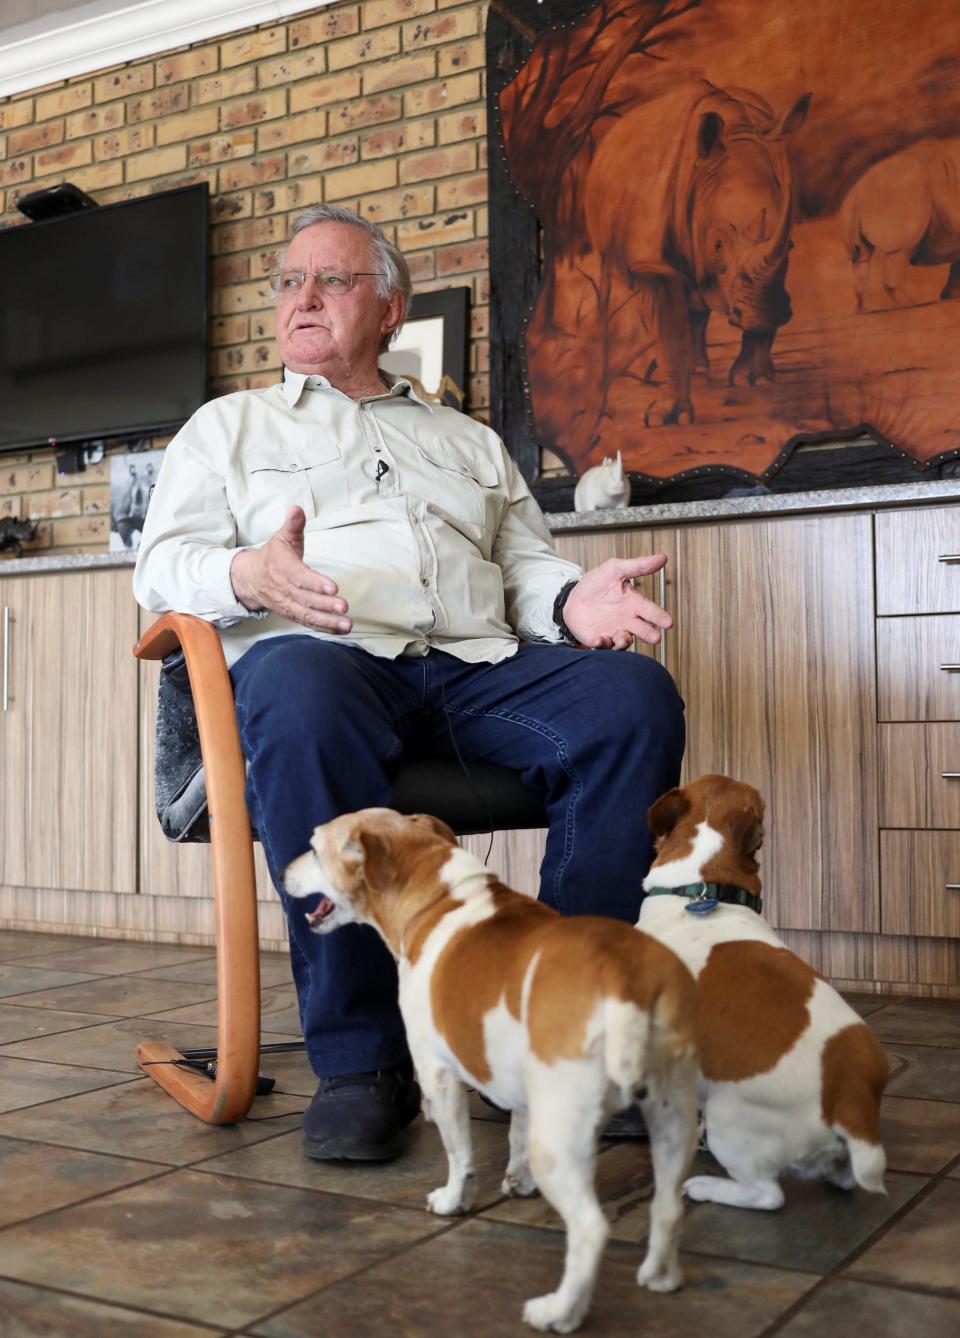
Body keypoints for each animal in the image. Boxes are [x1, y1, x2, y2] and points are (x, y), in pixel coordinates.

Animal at [285, 808, 696, 1332]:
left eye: (315, 848)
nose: (281, 874)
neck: (438, 897)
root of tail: (624, 980)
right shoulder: (520, 1084)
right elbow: (514, 1136)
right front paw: (517, 1184)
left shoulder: (438, 1075)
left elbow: (459, 1153)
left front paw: (453, 1201)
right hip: (674, 1121)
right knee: (668, 1207)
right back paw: (661, 1277)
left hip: (559, 1142)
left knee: (591, 1229)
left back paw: (559, 1311)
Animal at [637, 776, 889, 1214]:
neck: (700, 888)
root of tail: (849, 1097)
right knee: (843, 1177)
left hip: (730, 1120)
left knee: (768, 1195)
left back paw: (707, 1186)